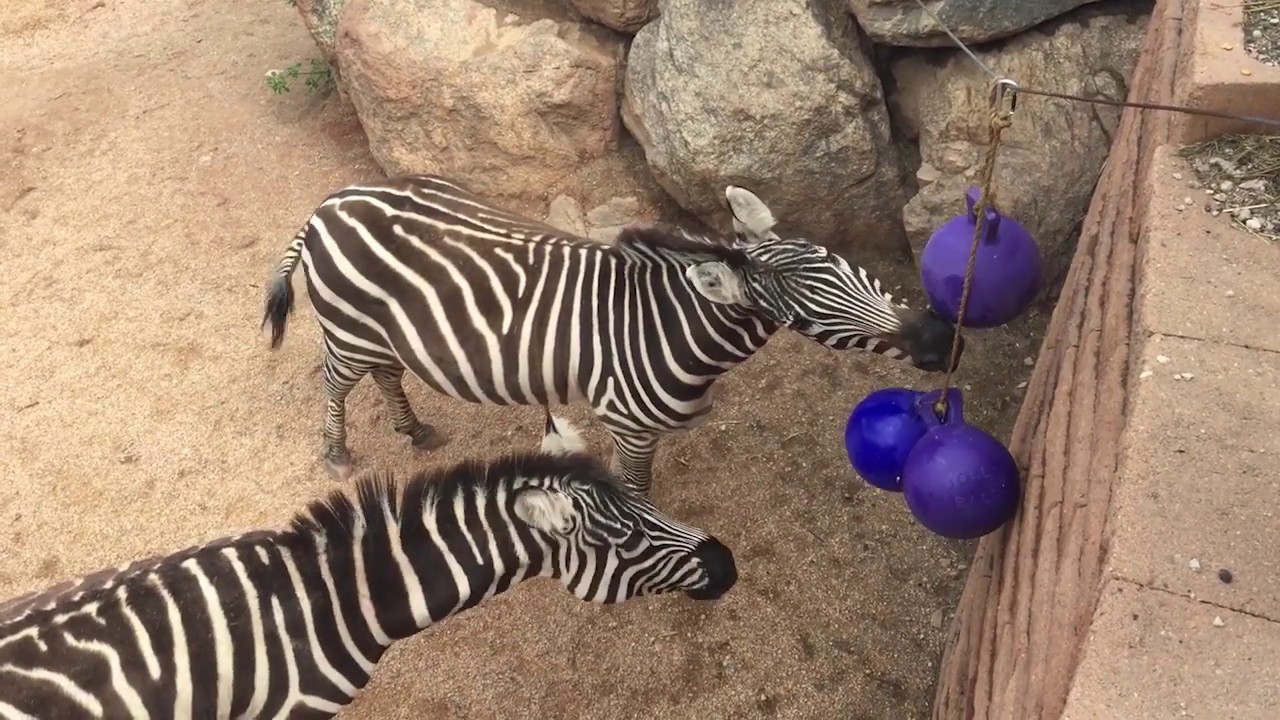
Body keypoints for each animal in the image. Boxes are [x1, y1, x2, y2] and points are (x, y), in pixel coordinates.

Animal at [260, 174, 963, 494]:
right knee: (338, 385)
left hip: (382, 332)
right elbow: (636, 489)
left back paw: (415, 430)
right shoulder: (629, 422)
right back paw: (337, 452)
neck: (672, 326)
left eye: (853, 270)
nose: (944, 341)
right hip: (350, 328)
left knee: (386, 372)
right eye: (807, 315)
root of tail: (330, 202)